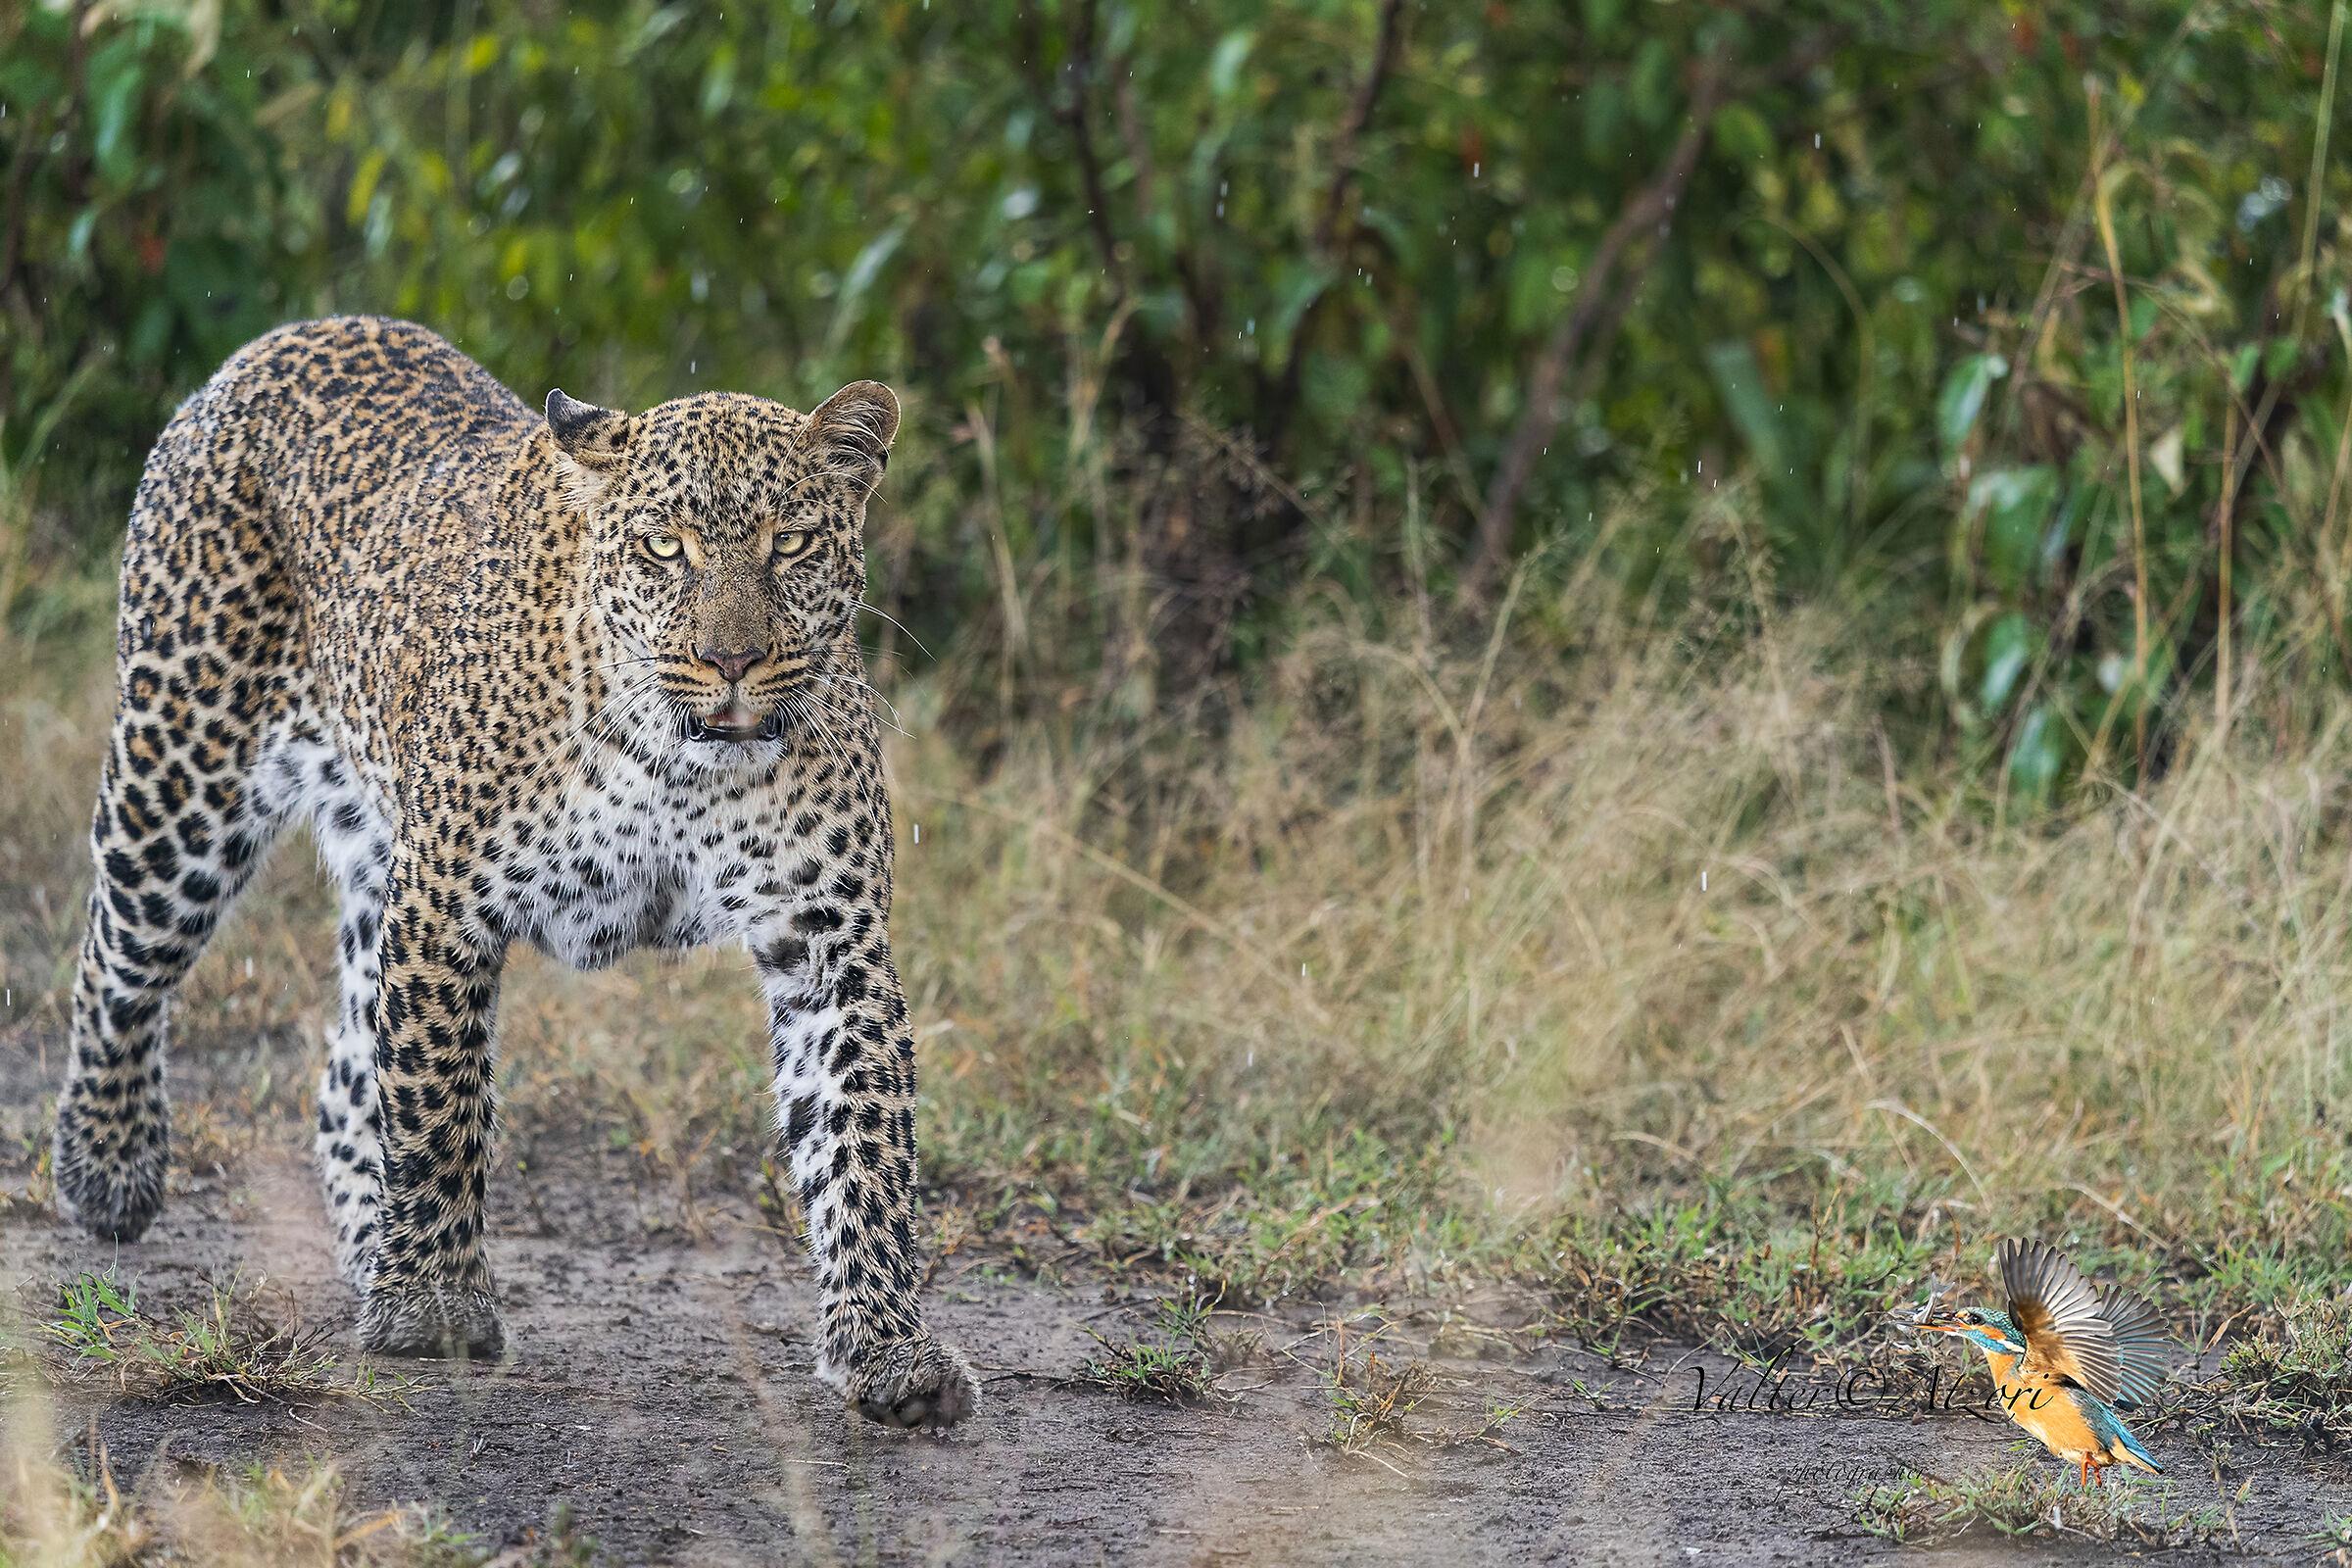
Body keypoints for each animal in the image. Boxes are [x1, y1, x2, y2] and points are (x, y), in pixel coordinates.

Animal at [49, 314, 978, 1431]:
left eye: (791, 543)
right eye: (665, 548)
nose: (734, 662)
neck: (678, 764)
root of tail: (284, 337)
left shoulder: (830, 942)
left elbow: (863, 1143)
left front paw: (887, 1348)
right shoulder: (445, 905)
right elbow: (439, 1105)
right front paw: (437, 1306)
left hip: (369, 844)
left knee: (344, 1068)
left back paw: (367, 1250)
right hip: (183, 767)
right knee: (119, 963)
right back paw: (108, 1165)